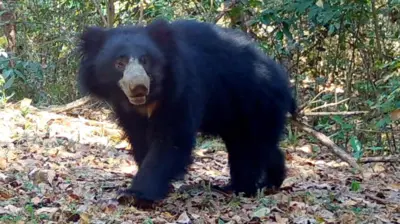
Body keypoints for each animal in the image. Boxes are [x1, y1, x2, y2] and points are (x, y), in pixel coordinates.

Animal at [77, 18, 296, 206]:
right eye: (119, 63)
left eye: (146, 60)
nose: (138, 87)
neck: (150, 99)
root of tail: (282, 79)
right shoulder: (128, 110)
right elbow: (139, 138)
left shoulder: (182, 90)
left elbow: (171, 140)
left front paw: (136, 194)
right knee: (257, 145)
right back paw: (267, 181)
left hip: (255, 101)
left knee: (249, 146)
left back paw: (241, 188)